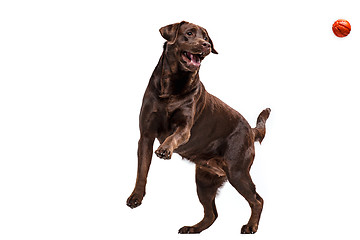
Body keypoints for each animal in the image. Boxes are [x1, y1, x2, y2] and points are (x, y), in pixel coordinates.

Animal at [126, 21, 270, 234]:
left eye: (207, 38)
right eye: (189, 33)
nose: (206, 45)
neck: (173, 86)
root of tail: (251, 130)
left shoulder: (185, 128)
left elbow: (174, 136)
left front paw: (164, 149)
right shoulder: (146, 135)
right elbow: (141, 171)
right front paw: (136, 196)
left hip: (237, 172)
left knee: (257, 200)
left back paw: (251, 226)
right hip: (204, 180)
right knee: (212, 214)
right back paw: (192, 228)